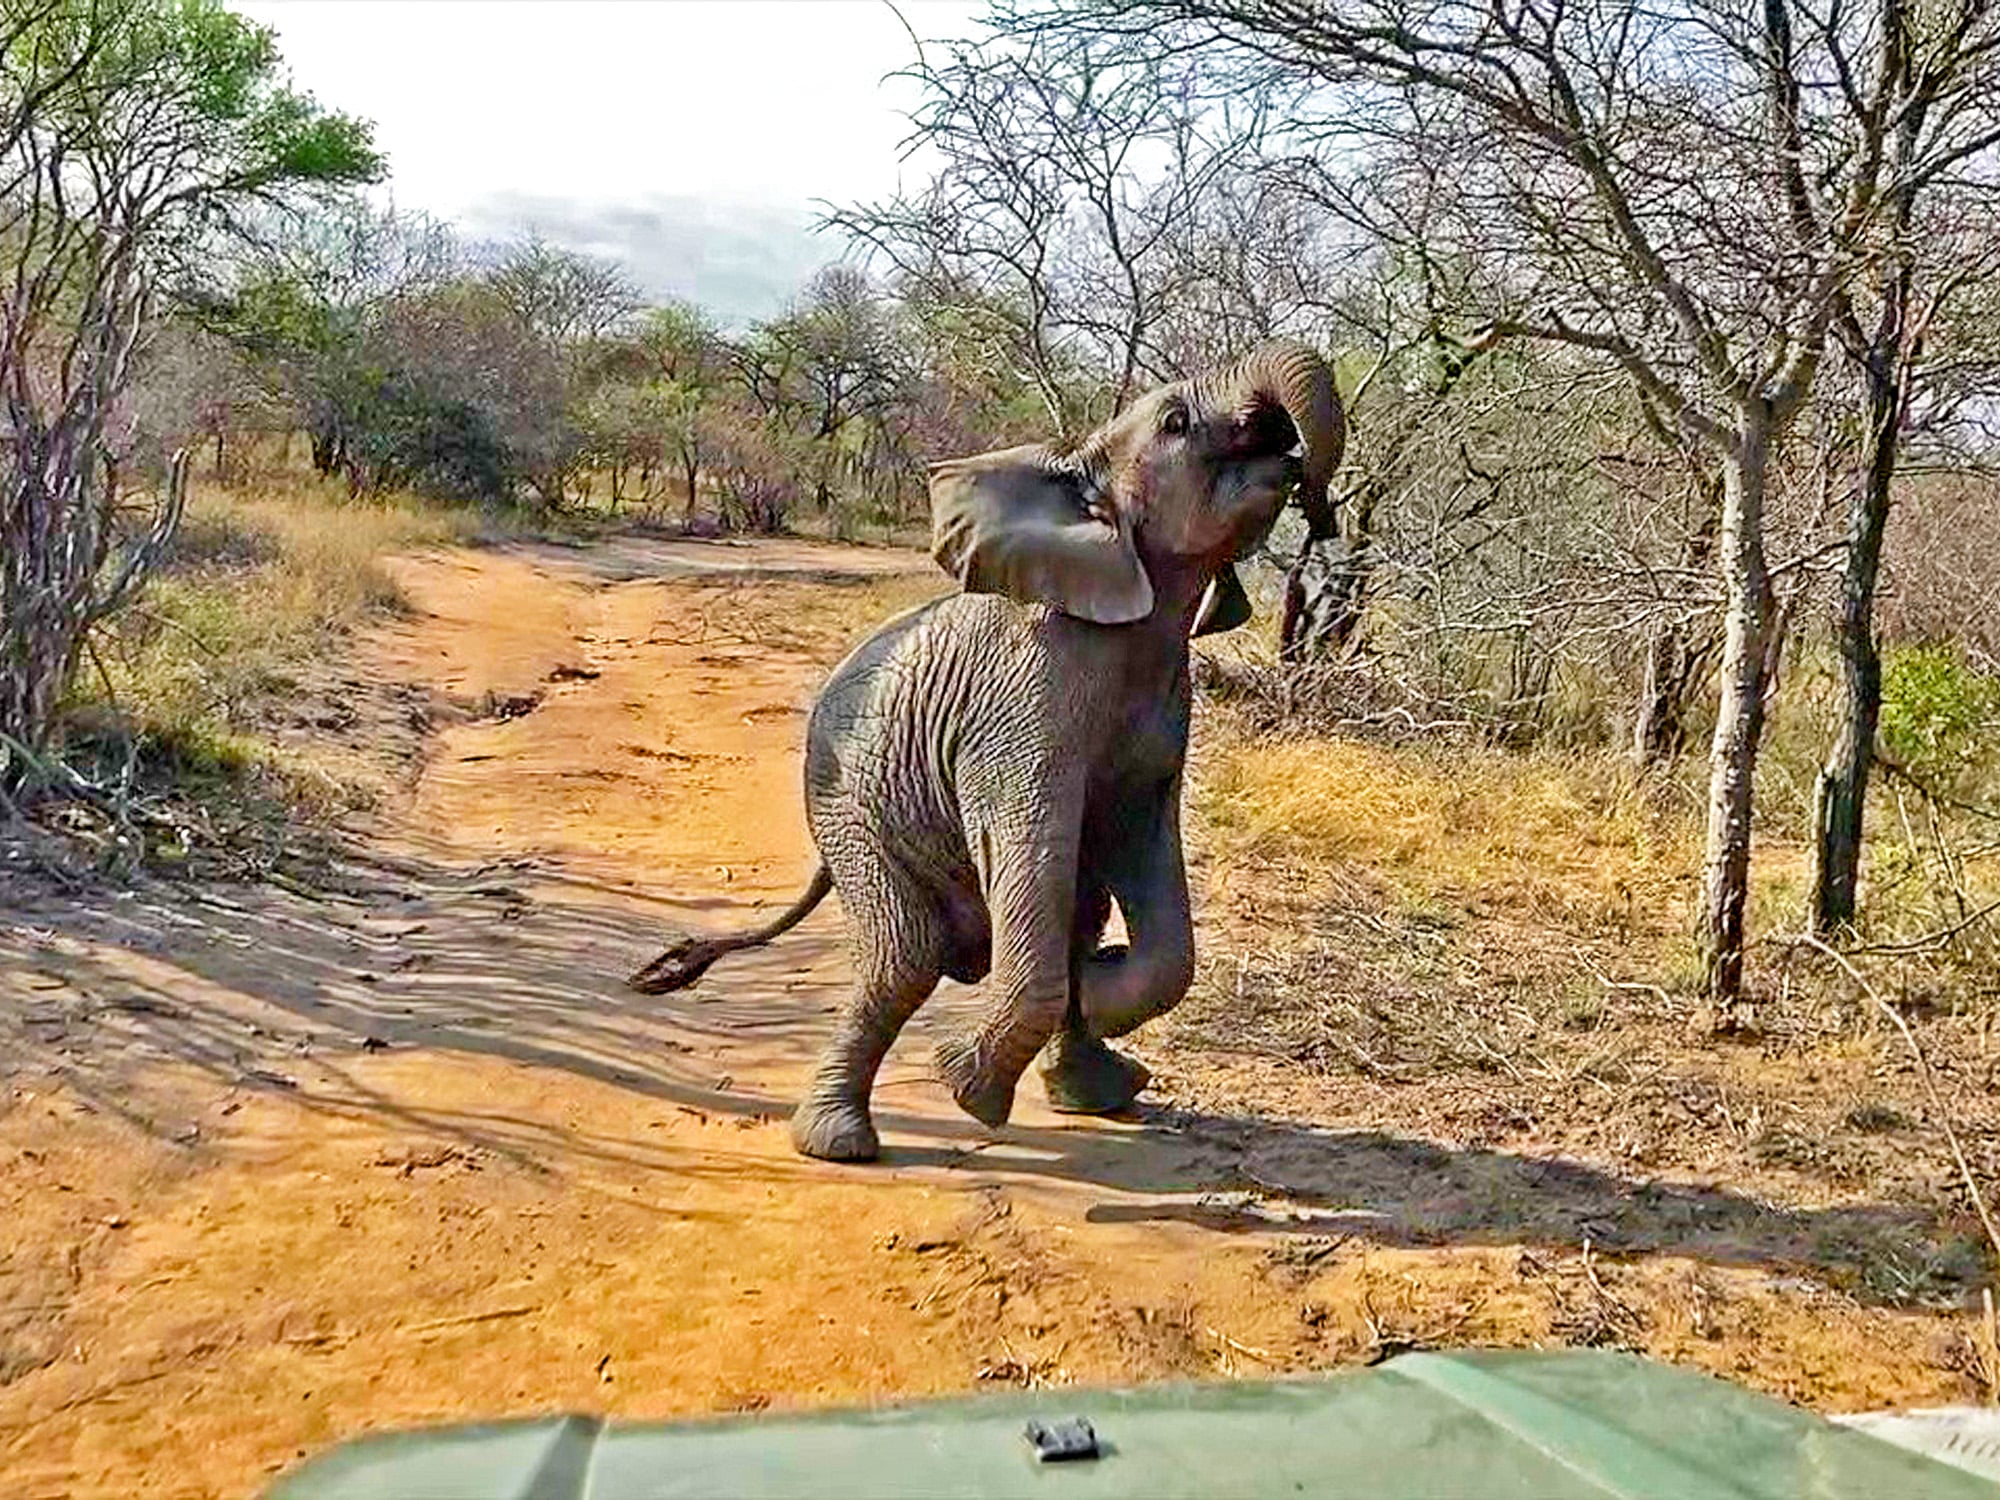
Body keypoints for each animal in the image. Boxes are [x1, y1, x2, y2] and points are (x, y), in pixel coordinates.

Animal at [629, 342, 1345, 1162]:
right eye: (1176, 421)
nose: (1316, 496)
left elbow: (1149, 887)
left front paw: (1096, 989)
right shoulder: (1021, 705)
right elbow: (1030, 862)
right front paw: (967, 1086)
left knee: (1065, 914)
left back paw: (1097, 1090)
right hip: (849, 810)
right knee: (903, 956)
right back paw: (838, 1143)